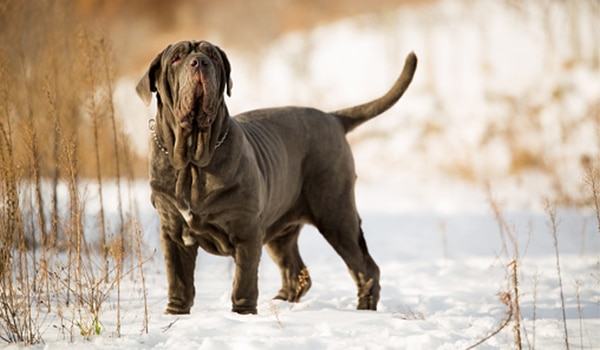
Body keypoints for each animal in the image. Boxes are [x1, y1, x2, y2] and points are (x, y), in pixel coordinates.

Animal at [137, 39, 418, 314]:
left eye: (213, 56)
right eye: (176, 58)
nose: (200, 62)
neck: (192, 163)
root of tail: (333, 118)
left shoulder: (247, 232)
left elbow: (243, 281)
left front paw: (242, 315)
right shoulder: (173, 232)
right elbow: (178, 280)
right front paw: (175, 314)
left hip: (336, 215)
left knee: (365, 267)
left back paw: (363, 309)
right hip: (281, 231)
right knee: (296, 272)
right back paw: (279, 303)